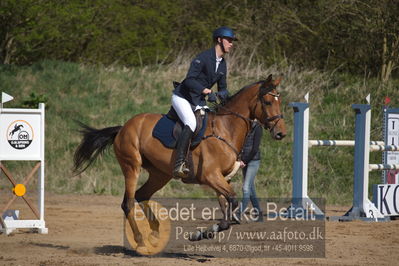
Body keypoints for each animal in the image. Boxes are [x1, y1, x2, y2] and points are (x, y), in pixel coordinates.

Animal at [74, 74, 288, 252]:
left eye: (280, 101)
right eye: (268, 102)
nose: (281, 133)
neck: (226, 129)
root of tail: (122, 128)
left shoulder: (222, 179)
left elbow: (228, 208)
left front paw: (204, 233)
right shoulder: (211, 176)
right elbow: (232, 201)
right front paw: (204, 232)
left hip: (160, 174)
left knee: (142, 195)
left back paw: (155, 232)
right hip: (131, 167)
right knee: (128, 203)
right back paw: (140, 240)